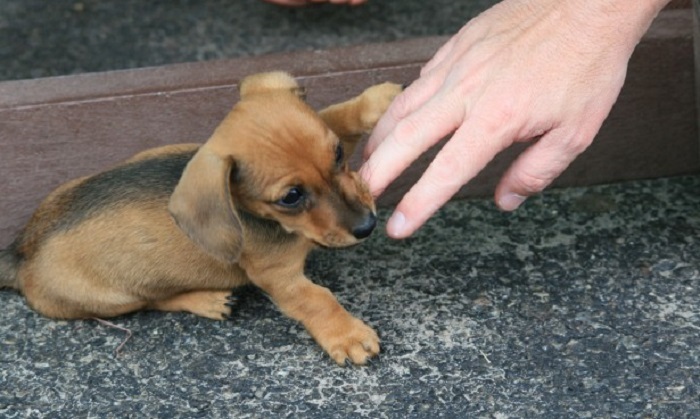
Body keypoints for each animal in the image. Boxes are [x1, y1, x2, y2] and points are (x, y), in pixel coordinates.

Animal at [0, 73, 402, 368]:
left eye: (338, 155)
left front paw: (378, 100)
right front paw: (346, 335)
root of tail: (19, 252)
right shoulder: (278, 277)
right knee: (154, 302)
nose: (367, 226)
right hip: (115, 299)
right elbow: (316, 299)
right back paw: (206, 300)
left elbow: (338, 116)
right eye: (290, 197)